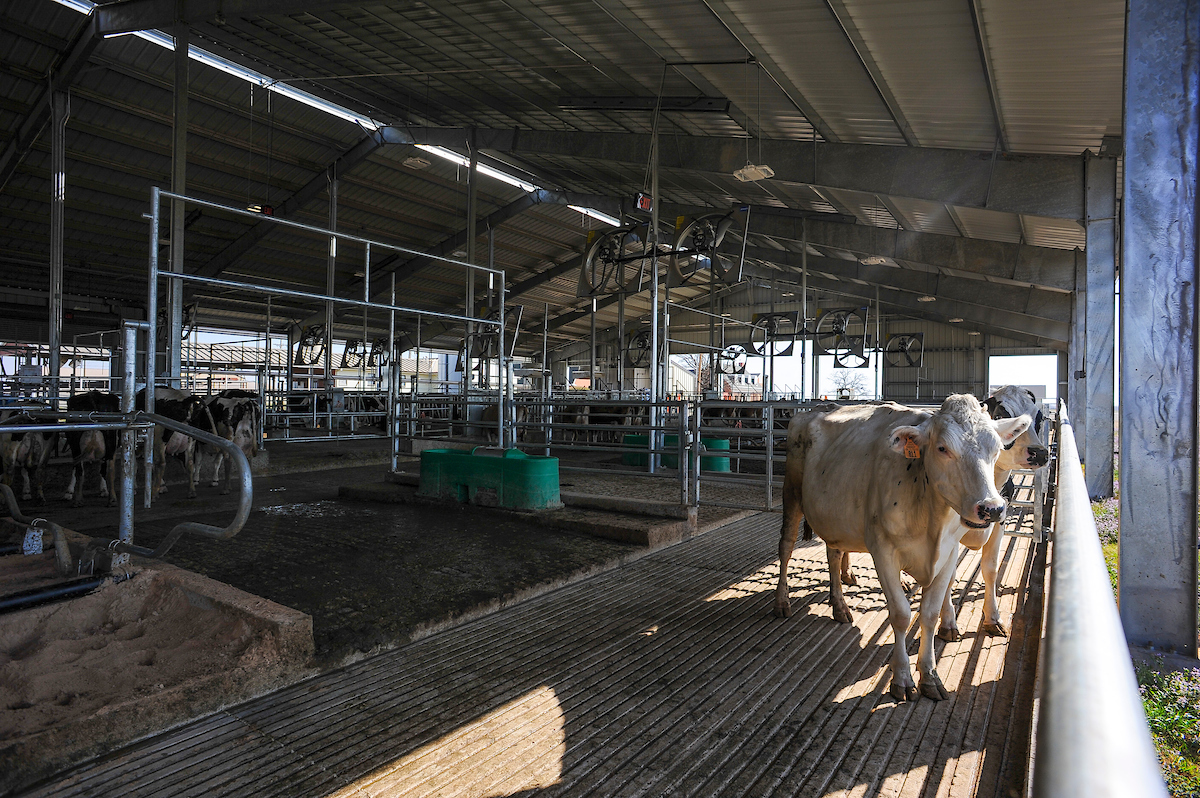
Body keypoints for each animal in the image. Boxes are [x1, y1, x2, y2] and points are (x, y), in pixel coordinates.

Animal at [777, 396, 1032, 700]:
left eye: (996, 449)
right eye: (942, 448)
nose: (991, 509)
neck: (930, 517)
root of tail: (815, 409)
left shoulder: (948, 554)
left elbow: (929, 615)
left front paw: (930, 675)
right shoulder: (883, 550)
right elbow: (900, 614)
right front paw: (902, 678)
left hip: (835, 517)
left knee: (834, 552)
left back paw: (839, 606)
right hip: (791, 491)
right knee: (786, 545)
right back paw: (782, 601)